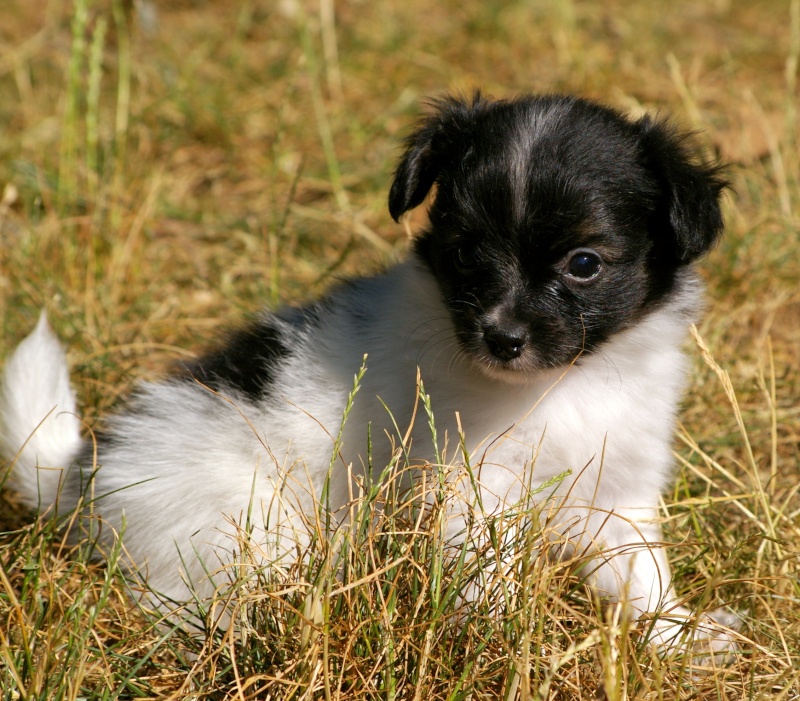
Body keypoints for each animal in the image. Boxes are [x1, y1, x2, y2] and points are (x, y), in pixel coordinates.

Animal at [0, 91, 736, 652]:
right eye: (465, 253)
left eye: (584, 263)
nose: (501, 337)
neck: (564, 385)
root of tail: (90, 473)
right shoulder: (470, 491)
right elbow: (486, 582)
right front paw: (495, 645)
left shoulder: (619, 492)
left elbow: (642, 575)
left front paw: (681, 637)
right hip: (241, 526)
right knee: (185, 595)